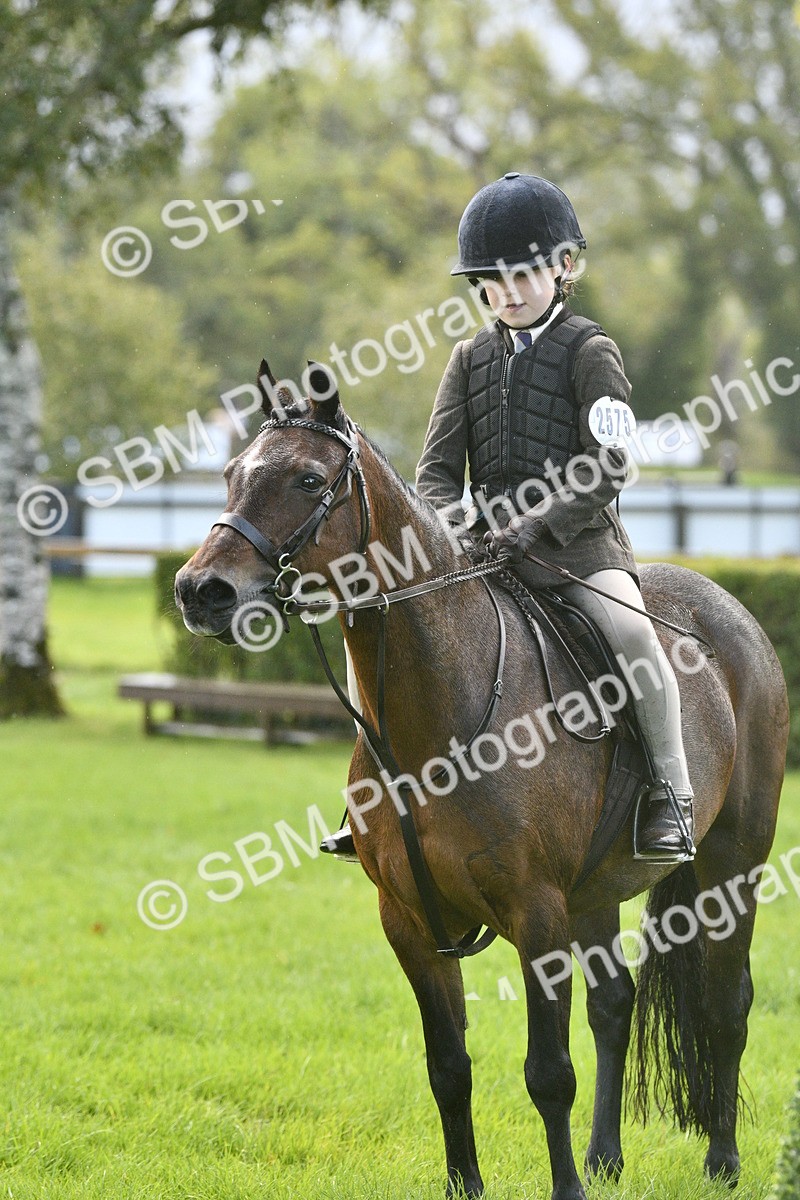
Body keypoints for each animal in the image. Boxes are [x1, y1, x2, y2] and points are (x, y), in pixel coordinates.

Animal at [174, 364, 788, 1200]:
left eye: (307, 479)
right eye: (232, 473)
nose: (200, 591)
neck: (441, 710)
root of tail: (735, 614)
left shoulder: (536, 914)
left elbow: (548, 1073)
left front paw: (566, 1188)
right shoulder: (409, 921)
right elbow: (449, 1068)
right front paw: (469, 1182)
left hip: (733, 864)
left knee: (726, 1004)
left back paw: (721, 1161)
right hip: (596, 892)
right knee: (615, 1006)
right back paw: (605, 1156)